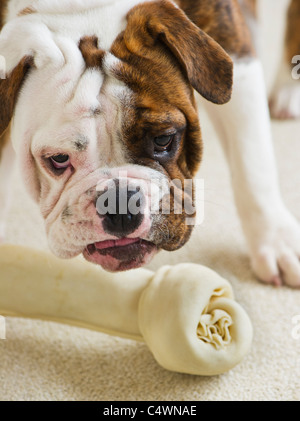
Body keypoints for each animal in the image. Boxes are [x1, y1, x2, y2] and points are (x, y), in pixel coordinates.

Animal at [0, 0, 298, 286]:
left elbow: (252, 164)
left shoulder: (235, 52)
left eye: (163, 139)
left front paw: (277, 241)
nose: (119, 204)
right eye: (58, 160)